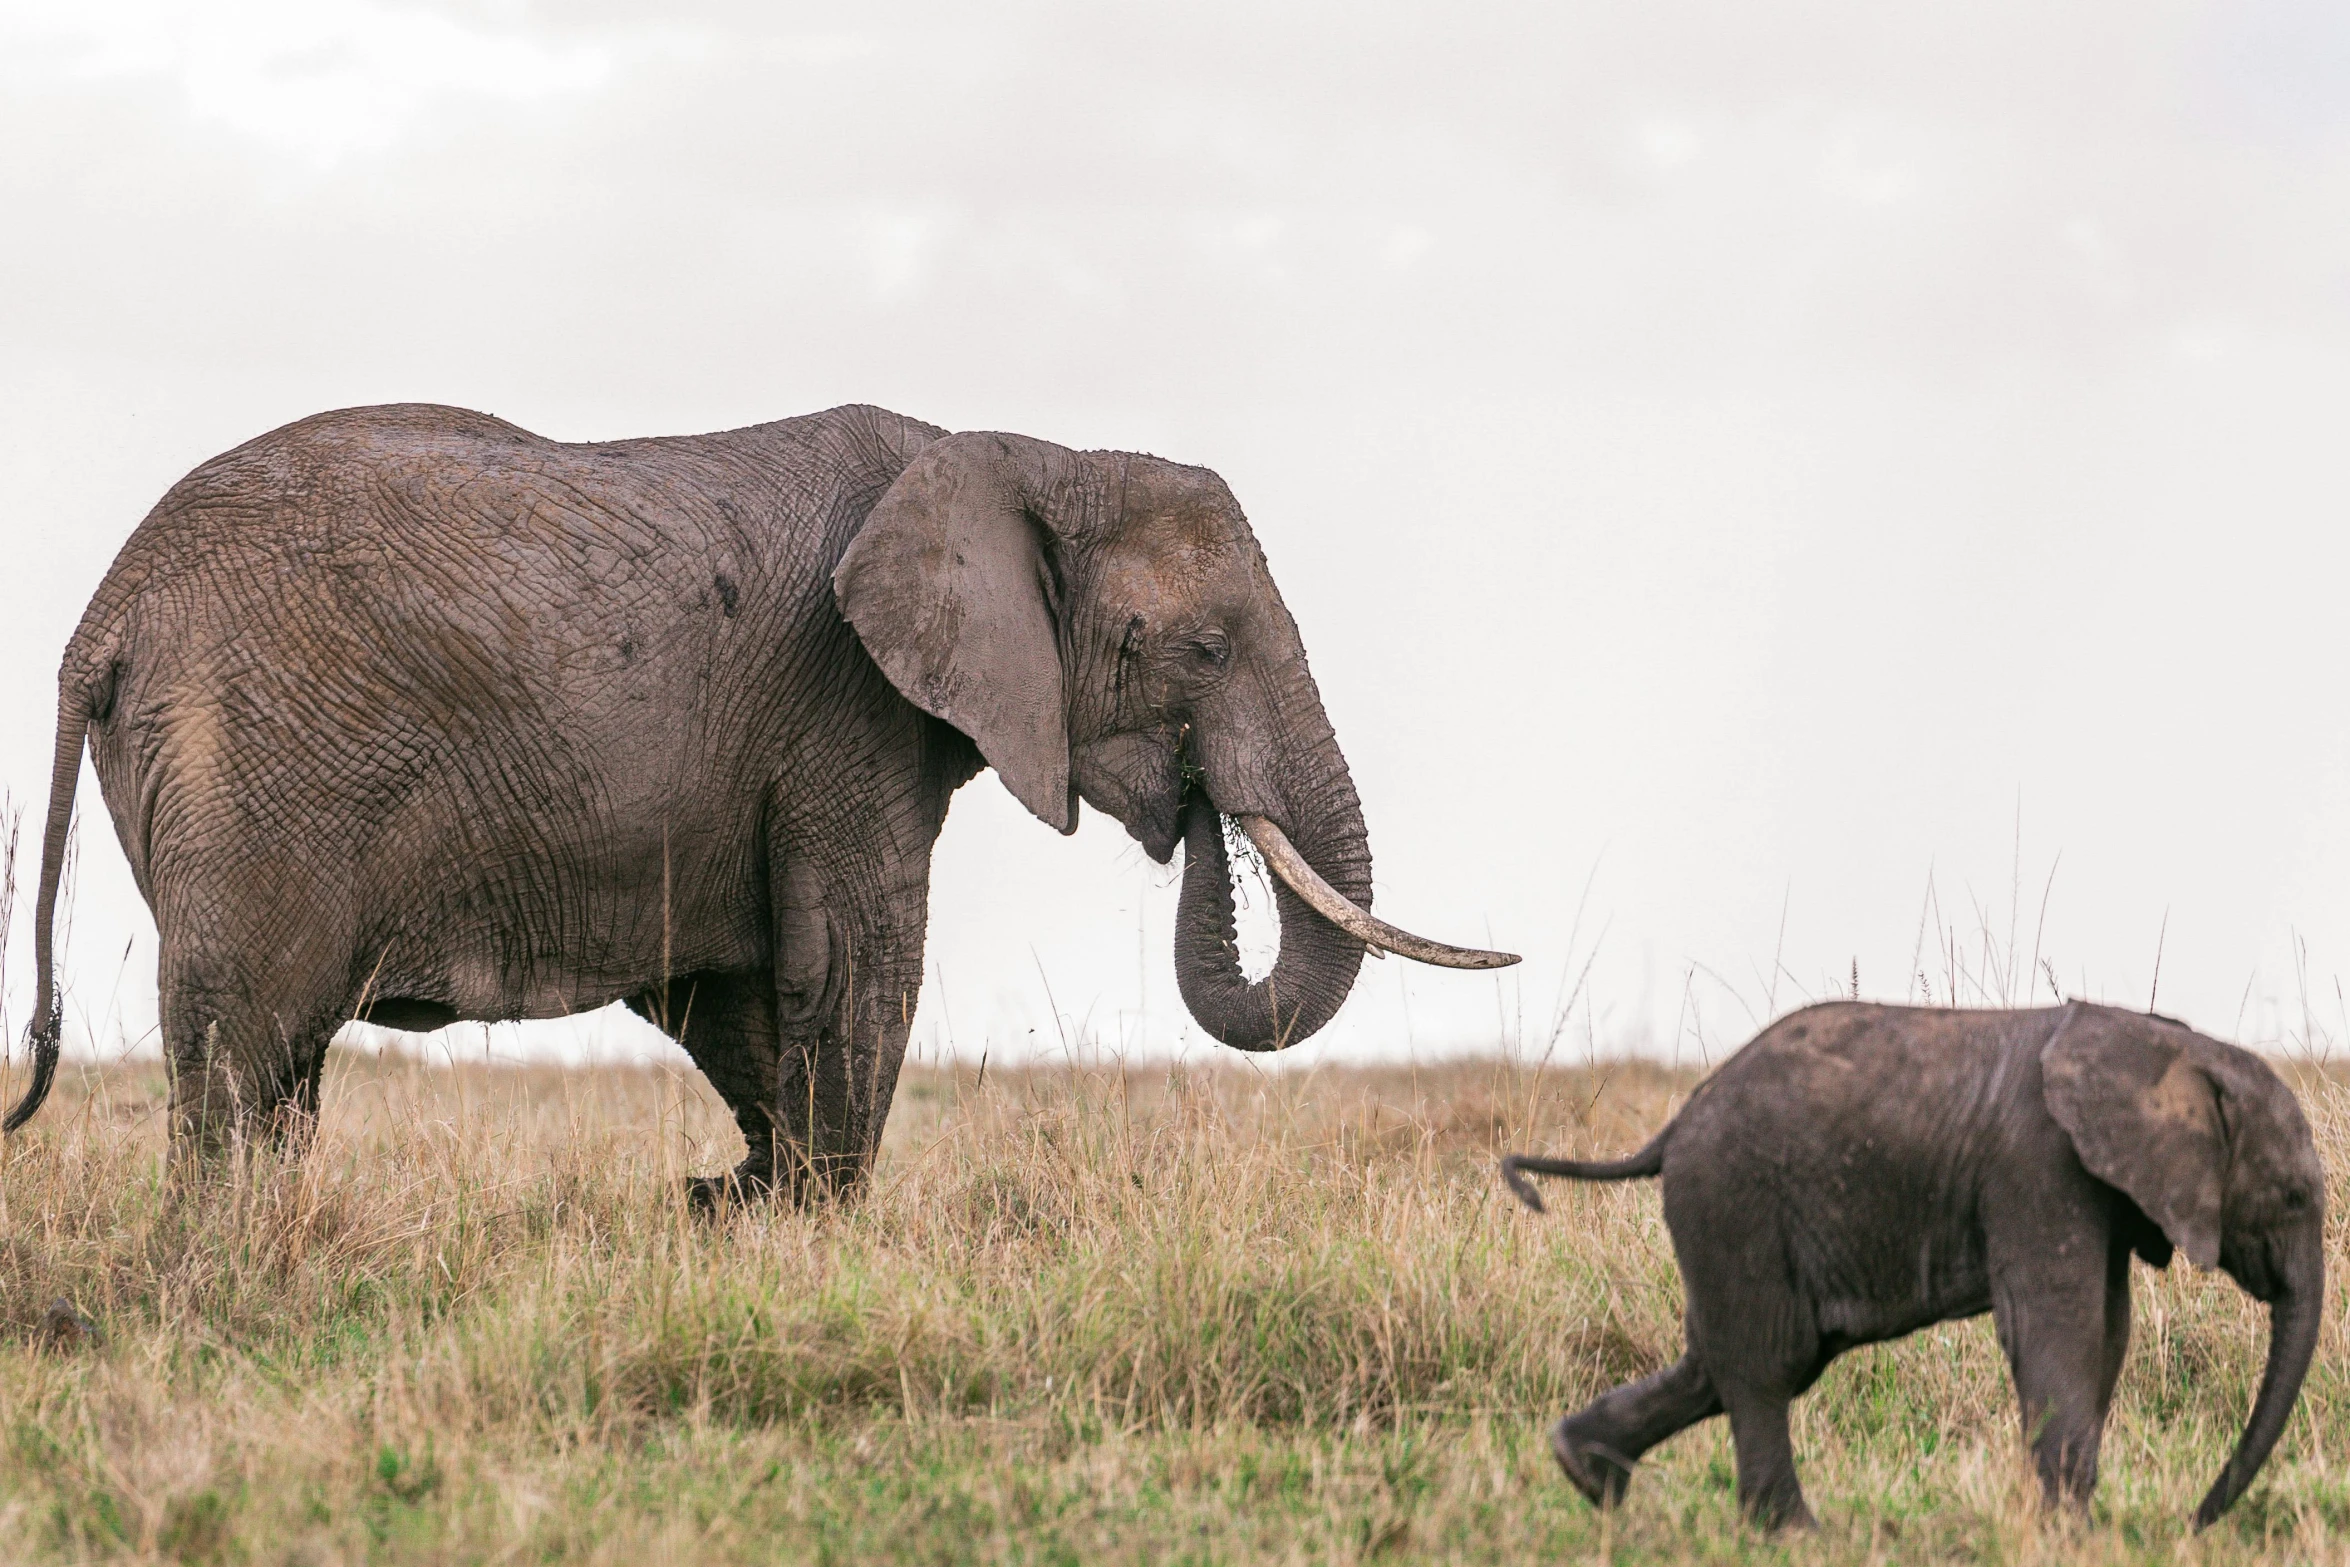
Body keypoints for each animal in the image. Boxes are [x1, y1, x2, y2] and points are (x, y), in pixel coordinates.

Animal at [9, 404, 1513, 1202]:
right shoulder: (846, 712)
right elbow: (855, 967)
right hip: (244, 760)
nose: (1193, 802)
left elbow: (735, 989)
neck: (1019, 451)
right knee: (243, 1047)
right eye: (1193, 649)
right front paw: (806, 1222)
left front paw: (736, 1204)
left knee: (280, 1066)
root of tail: (102, 615)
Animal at [1504, 1005, 2331, 1531]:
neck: (2170, 1044)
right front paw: (2071, 1534)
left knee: (1729, 1360)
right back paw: (1796, 1536)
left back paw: (1585, 1473)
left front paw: (2072, 1523)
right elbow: (2057, 1328)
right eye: (2293, 1195)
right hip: (1733, 1201)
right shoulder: (2038, 1165)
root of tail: (1671, 1126)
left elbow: (2107, 1329)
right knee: (1766, 1364)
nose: (2193, 1522)